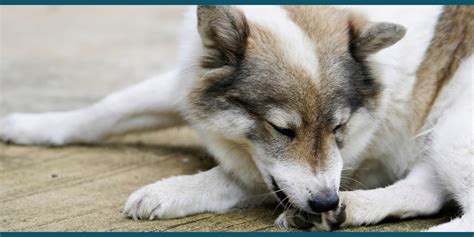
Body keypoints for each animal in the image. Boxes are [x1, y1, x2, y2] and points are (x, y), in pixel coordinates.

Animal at [0, 5, 474, 231]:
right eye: (283, 129)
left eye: (338, 128)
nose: (325, 201)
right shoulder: (188, 78)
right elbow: (106, 109)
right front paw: (30, 125)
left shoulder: (332, 167)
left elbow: (226, 179)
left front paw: (168, 191)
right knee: (426, 192)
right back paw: (346, 210)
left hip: (453, 132)